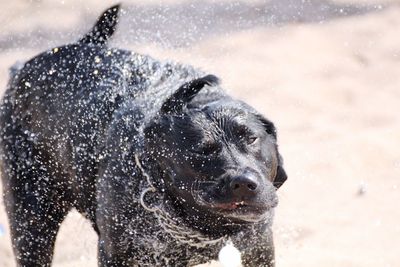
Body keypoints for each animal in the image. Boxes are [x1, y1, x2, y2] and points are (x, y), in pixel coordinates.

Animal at [0, 4, 288, 267]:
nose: (243, 182)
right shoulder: (116, 254)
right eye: (200, 150)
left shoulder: (259, 248)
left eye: (251, 138)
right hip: (32, 222)